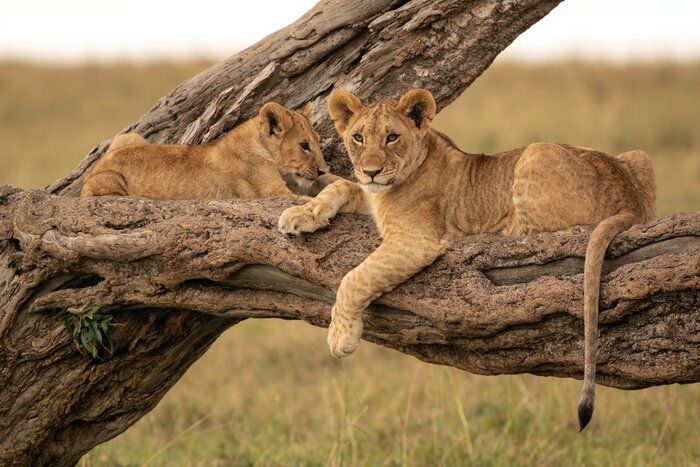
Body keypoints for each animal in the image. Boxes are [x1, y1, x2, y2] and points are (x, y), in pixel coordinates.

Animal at [81, 102, 331, 199]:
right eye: (304, 146)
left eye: (317, 142)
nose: (322, 169)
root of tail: (94, 169)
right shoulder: (273, 193)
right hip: (111, 182)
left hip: (129, 138)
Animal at [278, 89, 656, 431]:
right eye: (358, 137)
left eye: (392, 137)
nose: (370, 171)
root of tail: (629, 201)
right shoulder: (371, 199)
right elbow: (340, 186)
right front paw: (300, 214)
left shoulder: (416, 240)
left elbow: (355, 278)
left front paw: (340, 337)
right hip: (639, 157)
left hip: (535, 153)